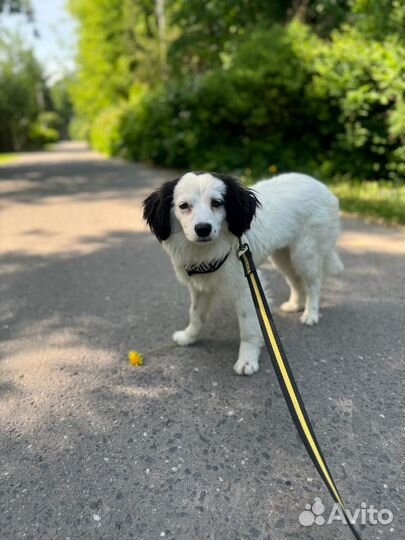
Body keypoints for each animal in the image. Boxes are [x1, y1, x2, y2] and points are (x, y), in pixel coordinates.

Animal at [142, 171, 340, 374]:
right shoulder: (200, 287)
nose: (203, 229)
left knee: (314, 284)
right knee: (296, 281)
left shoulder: (246, 289)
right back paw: (295, 305)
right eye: (183, 206)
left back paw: (311, 314)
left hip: (304, 254)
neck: (208, 253)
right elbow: (196, 314)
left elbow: (247, 329)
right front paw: (189, 336)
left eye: (217, 202)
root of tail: (322, 186)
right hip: (282, 256)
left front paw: (247, 360)